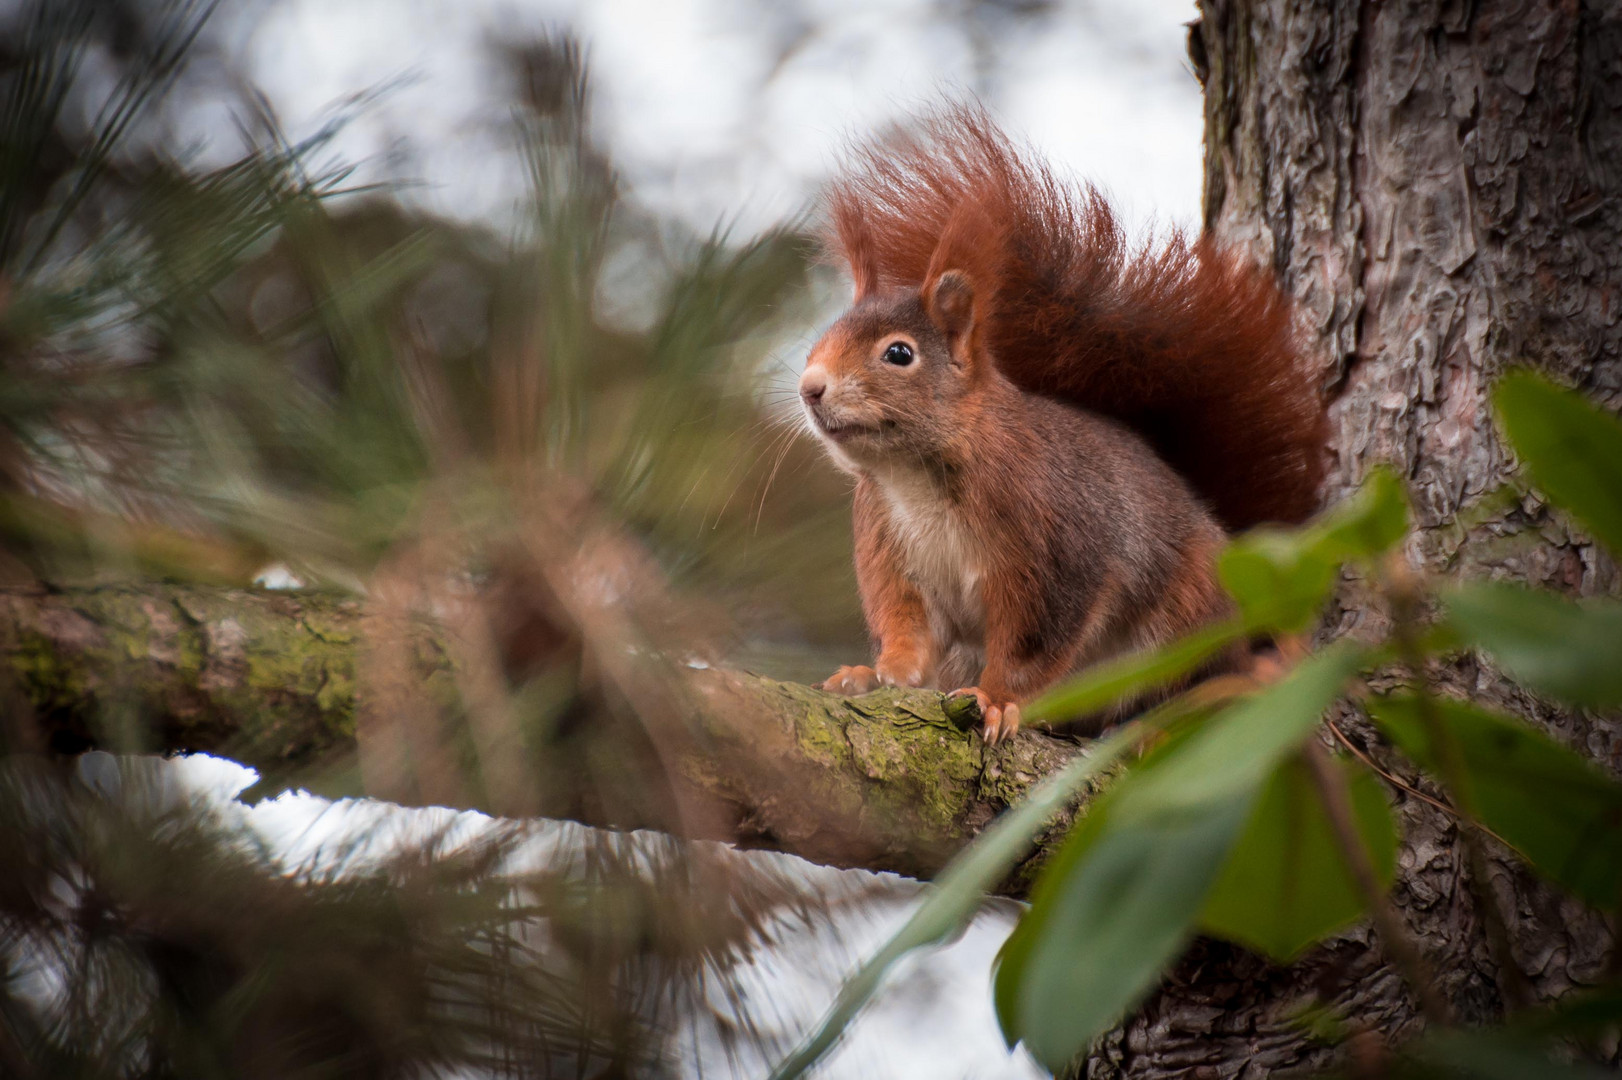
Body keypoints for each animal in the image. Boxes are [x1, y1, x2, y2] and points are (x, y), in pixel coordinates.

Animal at [801, 109, 1330, 739]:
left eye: (899, 354)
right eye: (822, 336)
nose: (809, 389)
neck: (912, 476)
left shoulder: (1056, 551)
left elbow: (1029, 649)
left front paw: (994, 699)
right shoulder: (890, 549)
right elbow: (908, 634)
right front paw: (875, 674)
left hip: (1191, 620)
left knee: (1200, 683)